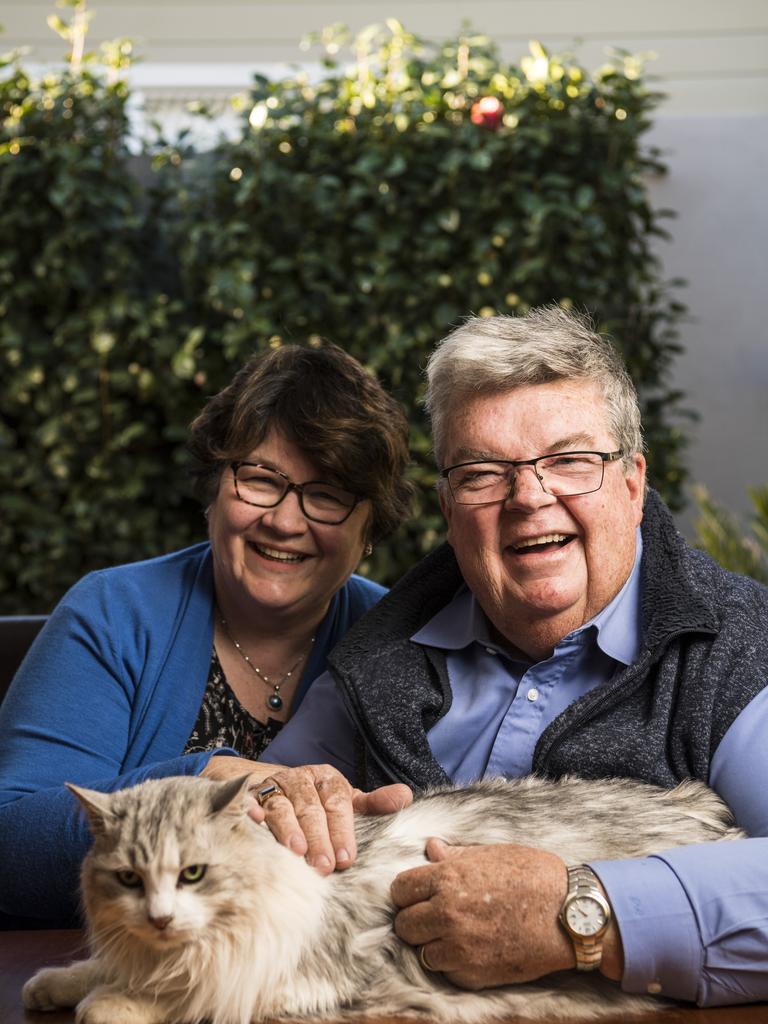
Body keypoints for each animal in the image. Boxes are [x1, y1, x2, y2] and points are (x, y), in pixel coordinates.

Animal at [22, 774, 745, 1024]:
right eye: (128, 880)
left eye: (194, 873)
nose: (161, 917)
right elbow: (100, 968)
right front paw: (55, 984)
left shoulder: (294, 976)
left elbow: (175, 997)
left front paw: (108, 1002)